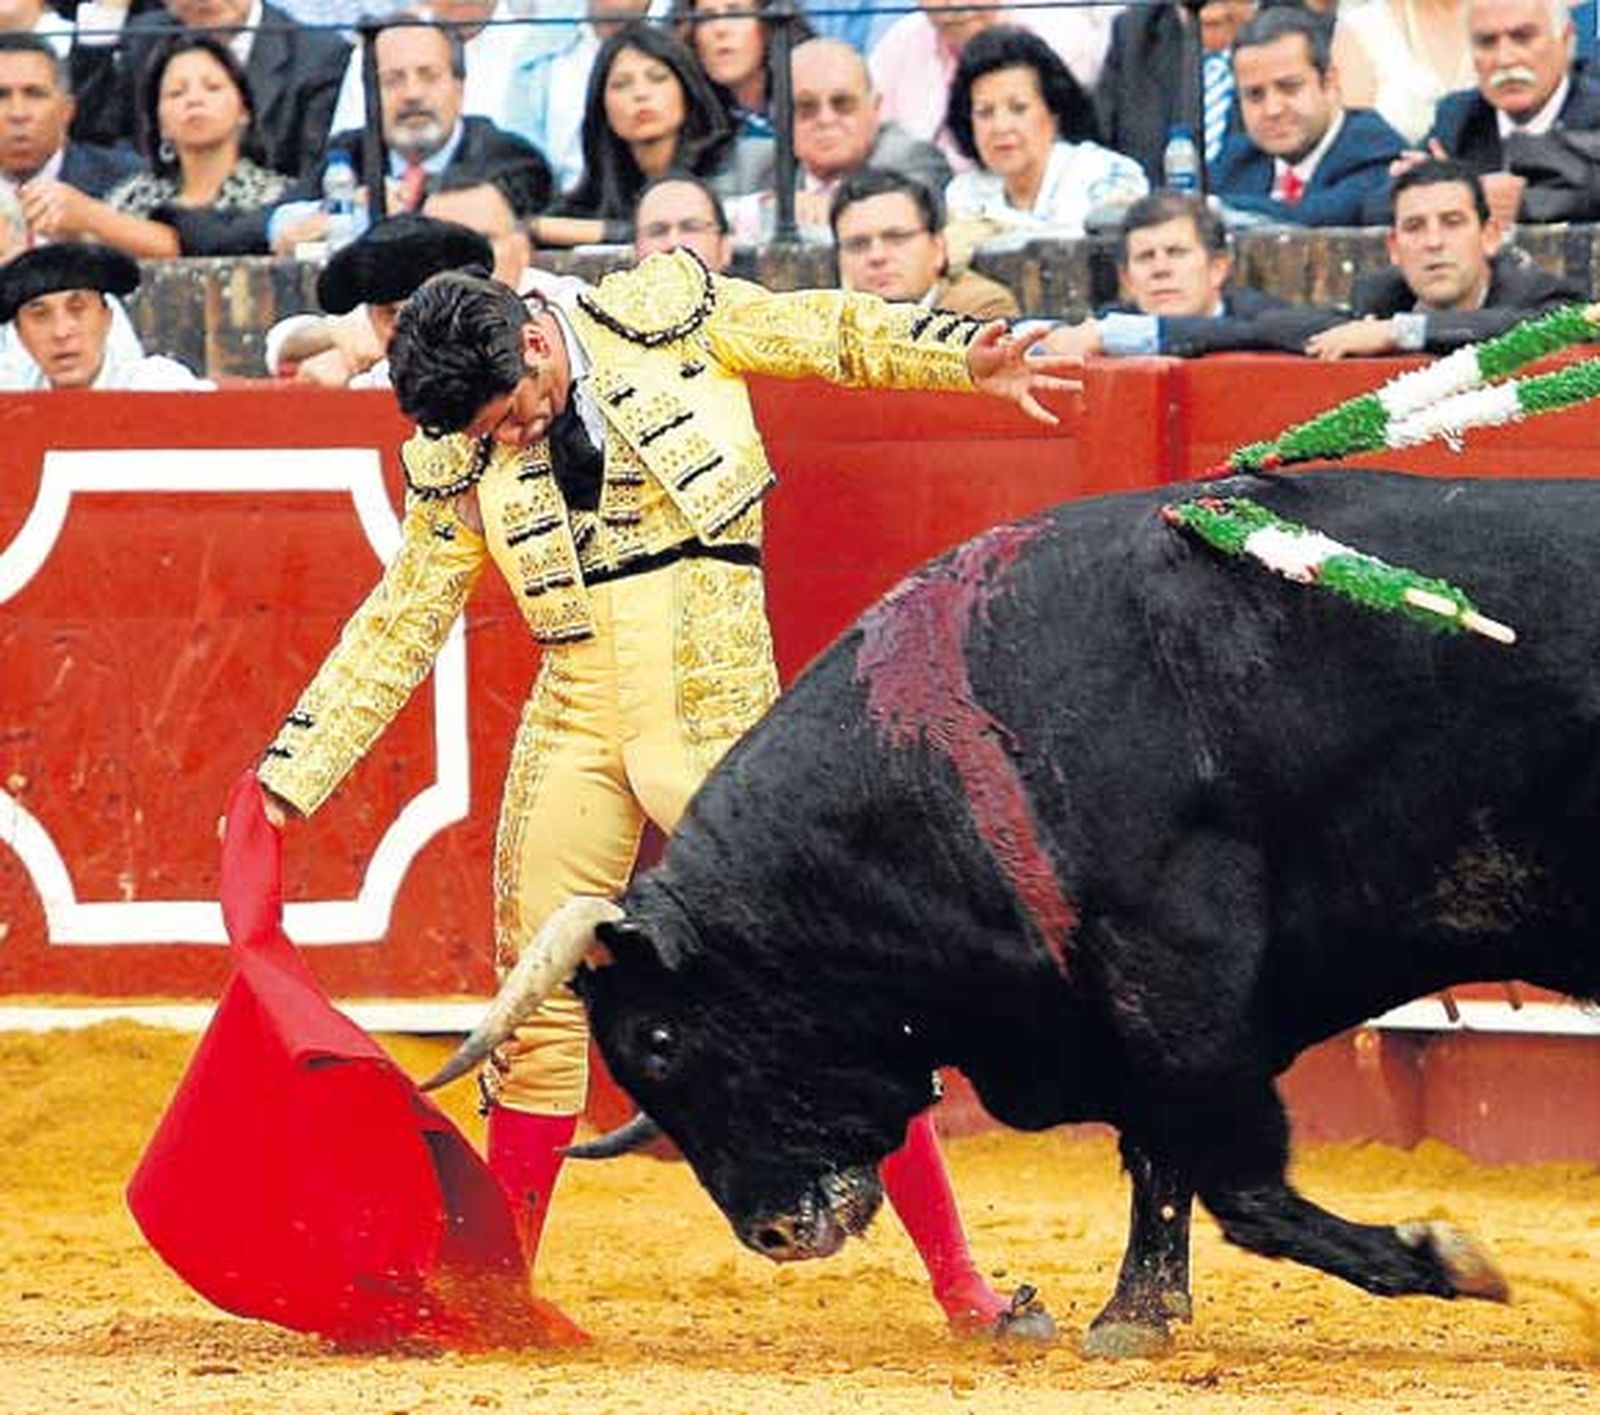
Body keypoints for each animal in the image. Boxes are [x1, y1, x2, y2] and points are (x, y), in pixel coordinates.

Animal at [426, 468, 1599, 1356]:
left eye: (661, 1039)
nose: (772, 1231)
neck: (961, 743)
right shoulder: (1121, 997)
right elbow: (1161, 1155)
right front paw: (1134, 1318)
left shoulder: (1179, 976)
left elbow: (1235, 1178)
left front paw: (1451, 1258)